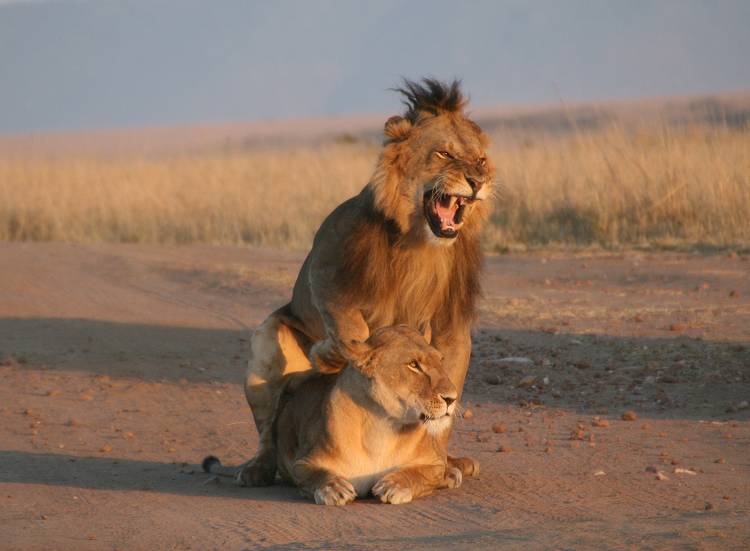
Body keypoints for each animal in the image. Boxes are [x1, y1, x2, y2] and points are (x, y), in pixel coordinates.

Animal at [206, 326, 464, 506]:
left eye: (440, 360)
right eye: (413, 364)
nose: (452, 398)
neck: (383, 425)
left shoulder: (431, 463)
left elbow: (419, 473)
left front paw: (395, 485)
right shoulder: (304, 462)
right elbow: (315, 474)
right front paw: (334, 489)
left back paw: (452, 474)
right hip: (288, 382)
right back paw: (253, 473)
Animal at [241, 75, 496, 486]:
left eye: (481, 159)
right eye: (443, 154)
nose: (477, 180)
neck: (421, 245)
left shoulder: (452, 322)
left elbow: (446, 389)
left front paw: (440, 462)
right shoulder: (325, 270)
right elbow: (350, 328)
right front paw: (329, 355)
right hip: (266, 344)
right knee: (270, 428)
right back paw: (257, 468)